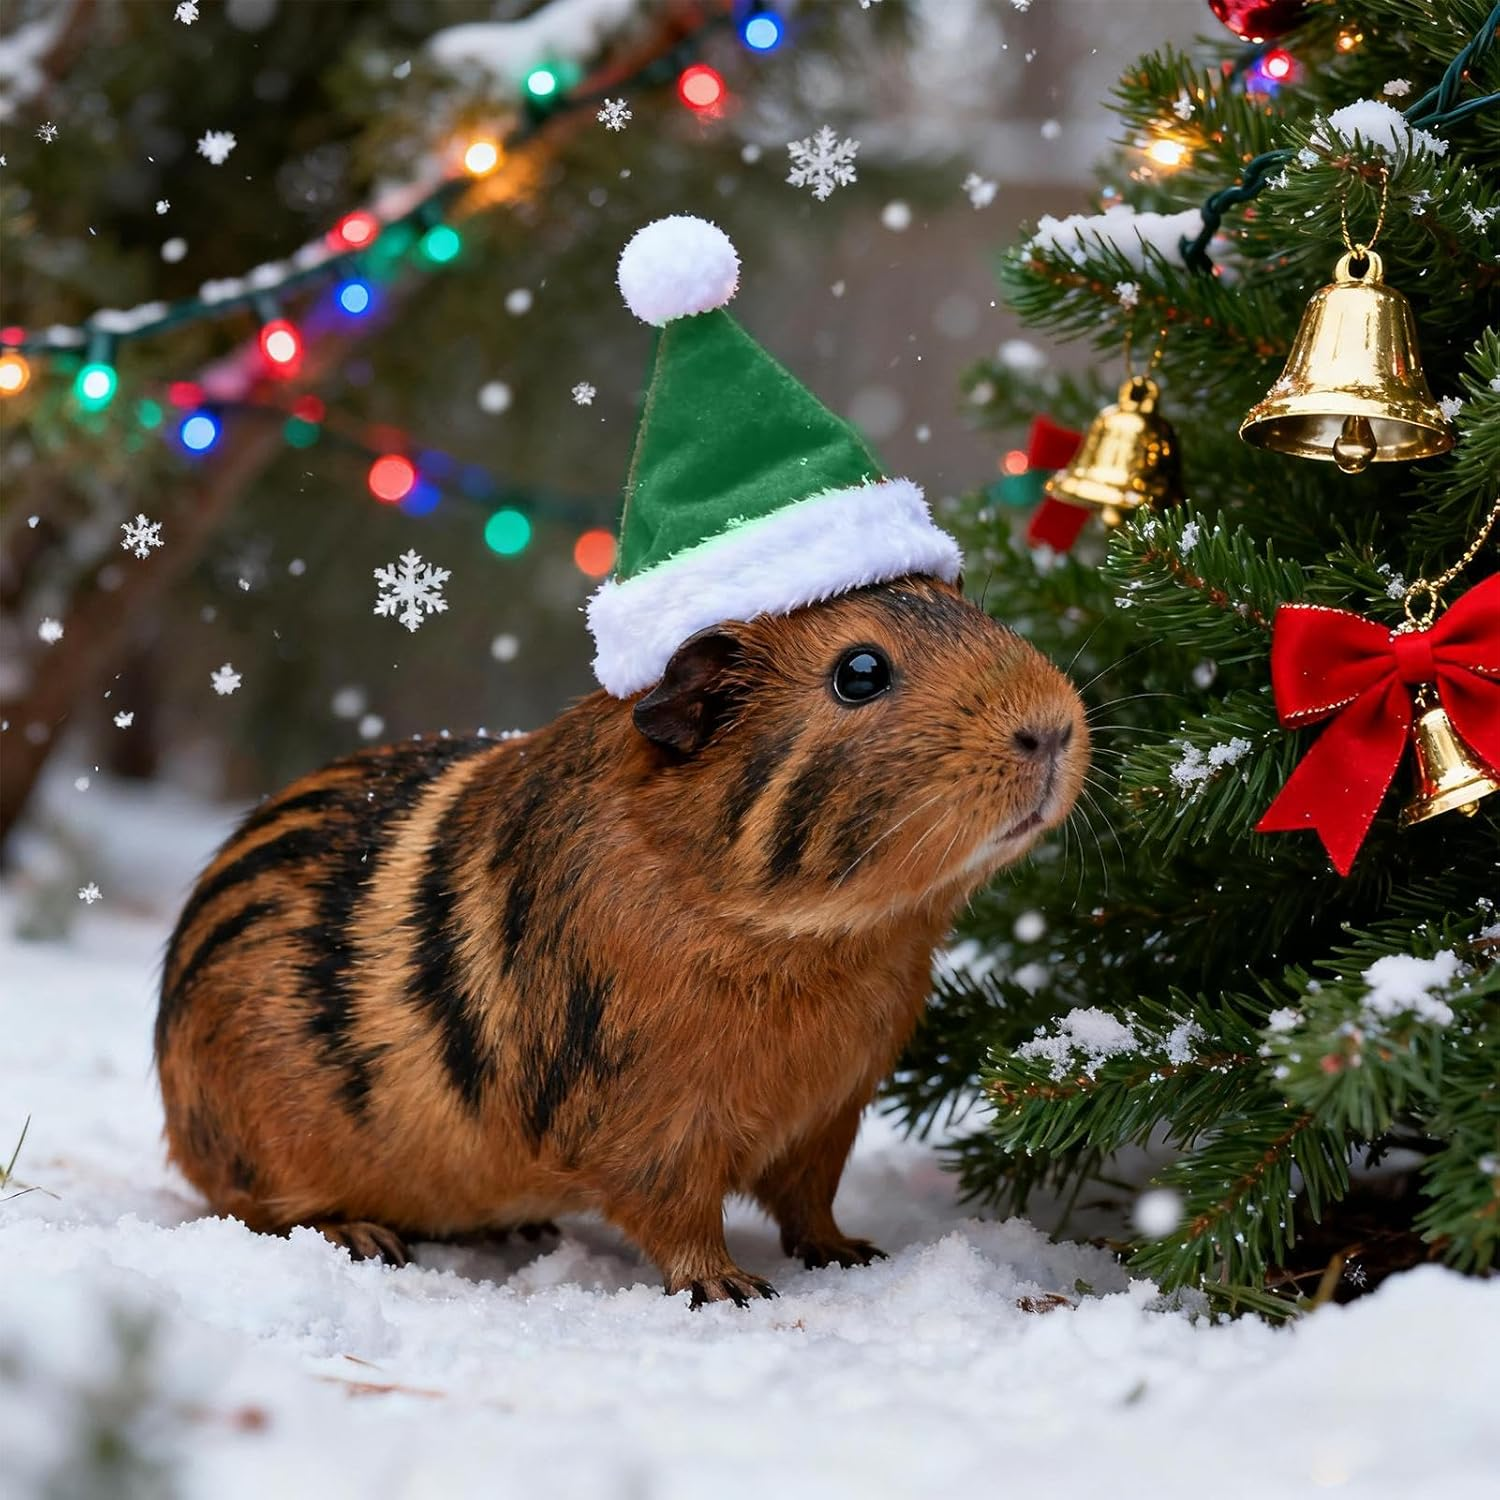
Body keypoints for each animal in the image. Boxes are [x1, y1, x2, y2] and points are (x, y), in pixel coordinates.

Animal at [156, 574, 1088, 1306]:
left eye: (974, 613)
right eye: (860, 672)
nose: (1054, 724)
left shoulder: (831, 1114)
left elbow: (810, 1205)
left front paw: (855, 1254)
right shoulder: (653, 1124)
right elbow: (680, 1216)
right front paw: (732, 1290)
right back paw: (367, 1236)